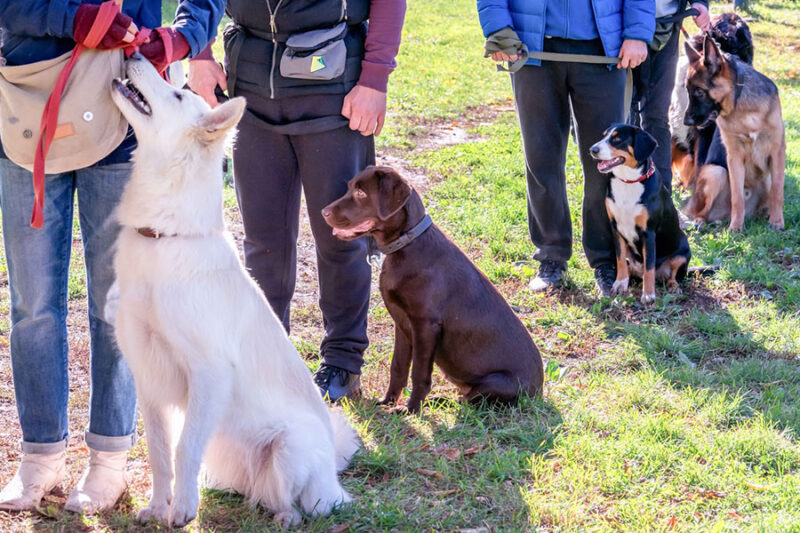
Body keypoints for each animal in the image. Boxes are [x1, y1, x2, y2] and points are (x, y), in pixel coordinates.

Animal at [108, 55, 358, 528]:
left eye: (177, 95)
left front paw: (182, 510)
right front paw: (157, 506)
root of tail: (333, 478)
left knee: (297, 503)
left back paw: (286, 516)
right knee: (258, 492)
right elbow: (161, 454)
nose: (134, 54)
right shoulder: (149, 380)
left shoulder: (209, 373)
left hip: (289, 449)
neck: (164, 236)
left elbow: (183, 448)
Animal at [680, 34, 788, 231]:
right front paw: (736, 227)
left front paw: (777, 222)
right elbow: (737, 197)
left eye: (699, 91)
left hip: (765, 178)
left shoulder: (777, 152)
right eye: (687, 91)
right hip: (715, 172)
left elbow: (777, 192)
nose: (687, 122)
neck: (742, 108)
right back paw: (701, 221)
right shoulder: (734, 157)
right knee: (701, 212)